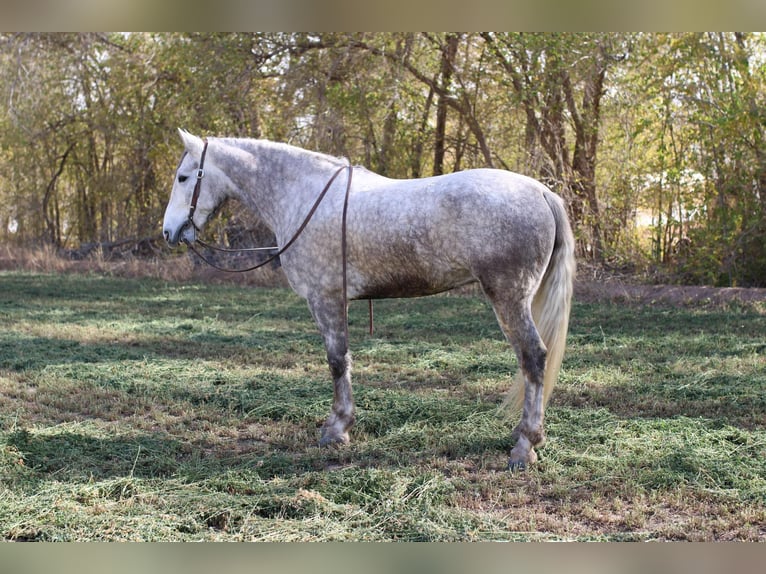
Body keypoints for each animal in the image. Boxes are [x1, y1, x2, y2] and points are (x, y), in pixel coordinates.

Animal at [162, 129, 575, 471]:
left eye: (183, 177)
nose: (168, 231)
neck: (304, 196)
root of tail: (542, 192)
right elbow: (343, 360)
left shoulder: (325, 299)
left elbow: (337, 361)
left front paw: (337, 428)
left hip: (509, 298)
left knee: (533, 358)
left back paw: (525, 445)